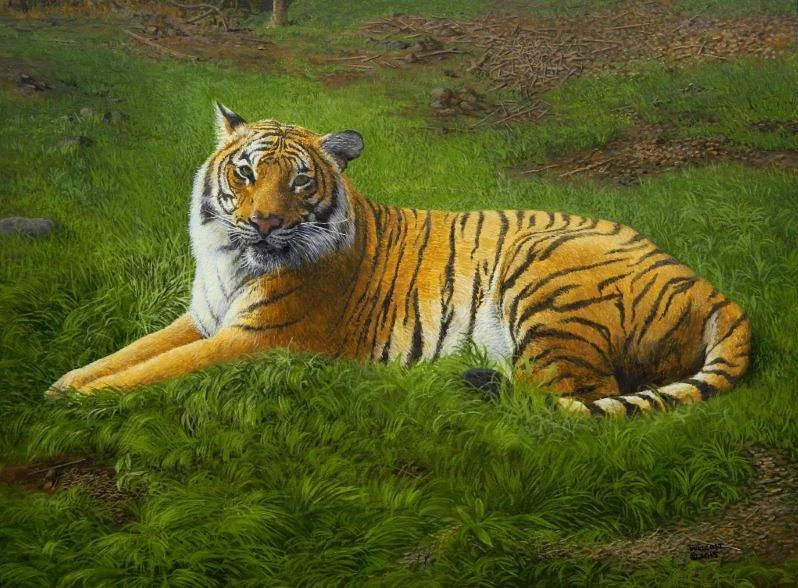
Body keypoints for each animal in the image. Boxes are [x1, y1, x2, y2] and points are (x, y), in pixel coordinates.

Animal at [49, 104, 752, 417]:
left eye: (299, 181)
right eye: (245, 172)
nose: (266, 221)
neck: (231, 260)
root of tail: (716, 291)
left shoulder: (253, 337)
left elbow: (156, 370)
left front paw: (79, 402)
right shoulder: (203, 319)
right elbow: (132, 351)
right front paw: (64, 382)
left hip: (547, 283)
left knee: (568, 399)